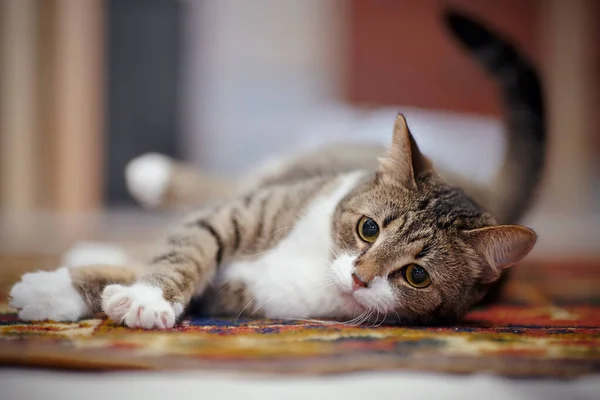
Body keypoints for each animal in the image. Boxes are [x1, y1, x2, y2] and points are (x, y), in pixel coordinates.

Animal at [9, 9, 544, 328]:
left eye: (416, 276)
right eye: (368, 229)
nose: (359, 277)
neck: (319, 261)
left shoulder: (235, 294)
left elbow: (149, 260)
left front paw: (66, 292)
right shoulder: (240, 213)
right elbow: (186, 247)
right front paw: (101, 291)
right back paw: (151, 176)